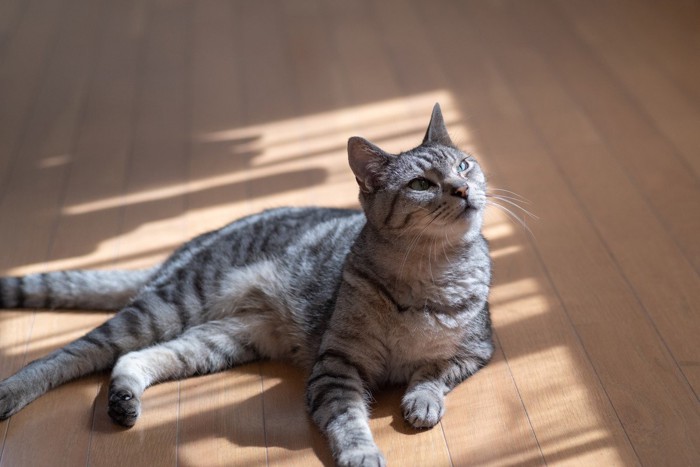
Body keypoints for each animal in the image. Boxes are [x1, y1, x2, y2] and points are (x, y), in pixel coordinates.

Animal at [0, 103, 492, 467]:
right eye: (421, 183)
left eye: (465, 164)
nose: (463, 188)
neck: (433, 272)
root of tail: (183, 248)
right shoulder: (336, 366)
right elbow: (349, 419)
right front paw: (362, 453)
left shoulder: (477, 352)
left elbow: (434, 372)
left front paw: (422, 402)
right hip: (170, 306)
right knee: (71, 353)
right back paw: (13, 391)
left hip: (223, 339)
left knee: (135, 357)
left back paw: (123, 399)